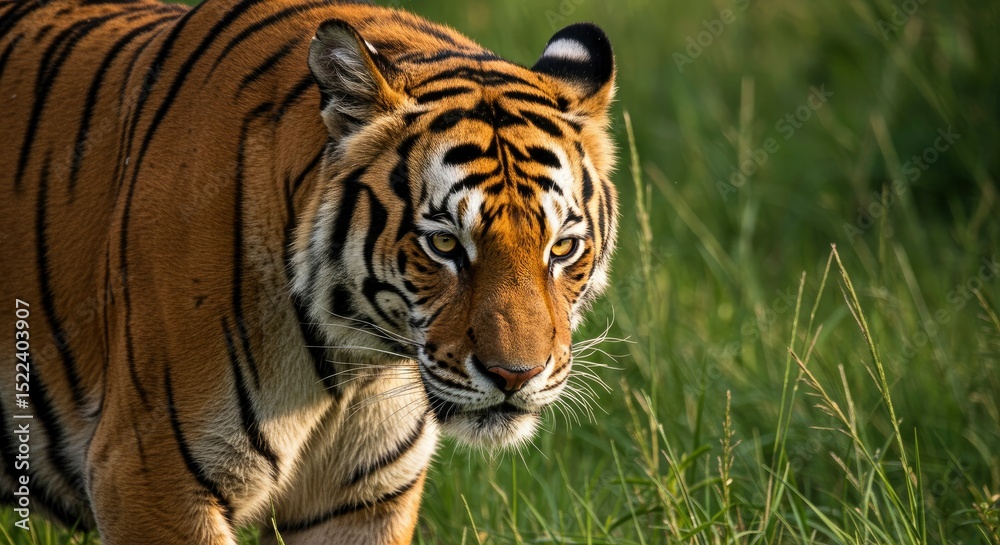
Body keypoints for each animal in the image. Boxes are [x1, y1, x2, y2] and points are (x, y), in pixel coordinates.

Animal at [0, 0, 618, 542]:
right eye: (444, 244)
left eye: (563, 249)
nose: (516, 376)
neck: (357, 363)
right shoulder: (150, 477)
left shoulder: (360, 502)